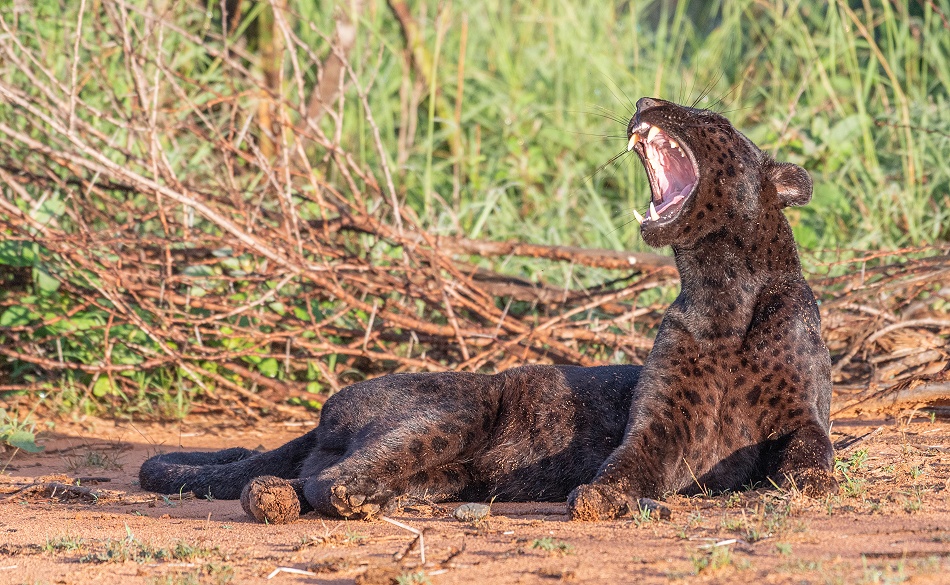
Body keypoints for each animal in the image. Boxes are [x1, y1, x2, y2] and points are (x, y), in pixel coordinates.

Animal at [139, 97, 837, 523]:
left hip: (438, 465)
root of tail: (325, 412)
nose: (645, 103)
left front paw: (810, 483)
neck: (723, 292)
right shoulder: (662, 426)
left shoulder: (802, 417)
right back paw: (341, 500)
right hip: (455, 412)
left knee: (304, 480)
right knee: (329, 481)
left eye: (707, 114)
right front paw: (599, 498)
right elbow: (626, 464)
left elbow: (812, 455)